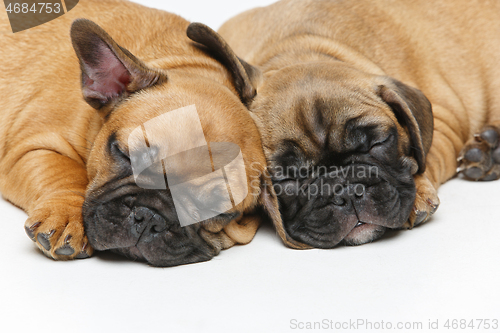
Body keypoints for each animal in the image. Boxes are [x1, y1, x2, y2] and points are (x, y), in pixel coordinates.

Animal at [0, 0, 282, 264]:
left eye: (216, 210)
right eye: (126, 156)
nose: (148, 217)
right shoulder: (30, 149)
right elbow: (64, 173)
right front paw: (67, 216)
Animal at [216, 0, 500, 246]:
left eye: (377, 144)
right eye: (288, 178)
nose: (347, 192)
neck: (299, 49)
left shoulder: (443, 119)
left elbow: (426, 158)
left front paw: (419, 191)